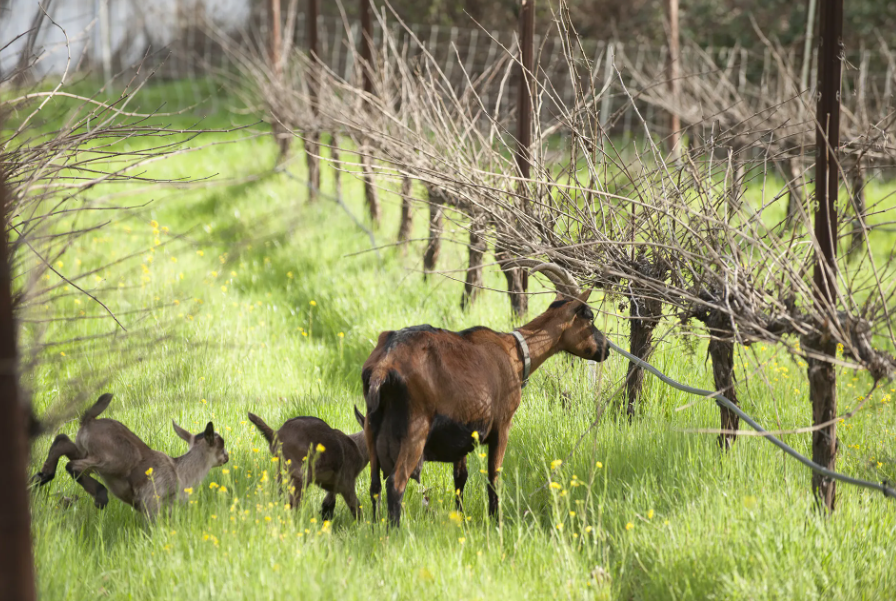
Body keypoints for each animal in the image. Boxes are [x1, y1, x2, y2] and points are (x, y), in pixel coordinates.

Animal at [34, 393, 229, 518]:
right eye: (221, 445)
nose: (227, 457)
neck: (181, 472)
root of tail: (88, 421)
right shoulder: (152, 502)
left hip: (84, 449)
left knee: (62, 441)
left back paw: (41, 477)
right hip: (117, 460)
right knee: (73, 465)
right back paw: (100, 496)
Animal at [361, 263, 611, 525]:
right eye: (589, 316)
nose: (606, 348)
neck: (515, 353)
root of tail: (383, 366)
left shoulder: (463, 428)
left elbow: (460, 478)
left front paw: (460, 518)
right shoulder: (502, 425)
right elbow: (494, 477)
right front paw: (496, 520)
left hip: (371, 426)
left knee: (374, 484)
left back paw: (374, 527)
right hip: (415, 430)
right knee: (395, 484)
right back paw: (394, 530)